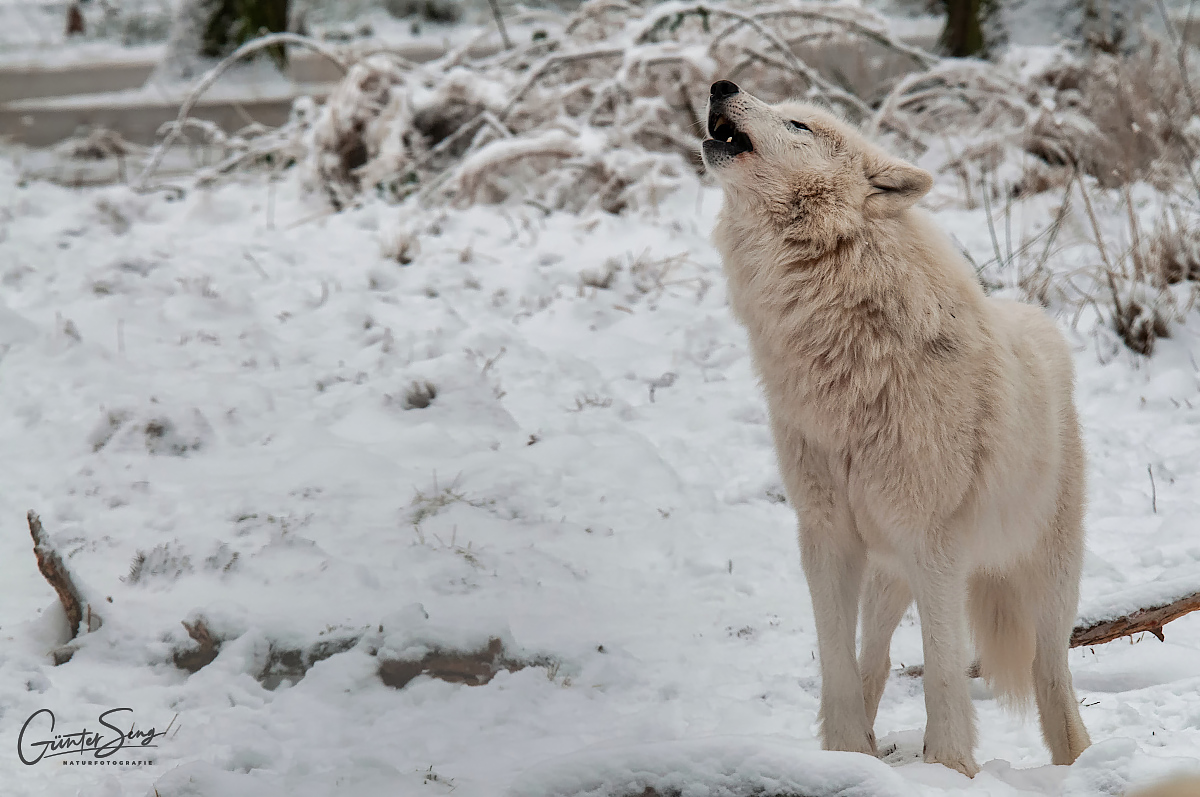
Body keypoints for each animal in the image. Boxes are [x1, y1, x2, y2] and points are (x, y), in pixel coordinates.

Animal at [700, 82, 1094, 777]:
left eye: (797, 124)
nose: (722, 85)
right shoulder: (826, 534)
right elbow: (836, 662)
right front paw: (845, 757)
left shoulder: (934, 544)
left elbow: (942, 669)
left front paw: (951, 768)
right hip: (887, 568)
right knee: (875, 659)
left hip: (1045, 579)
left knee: (1052, 674)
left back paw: (1079, 764)